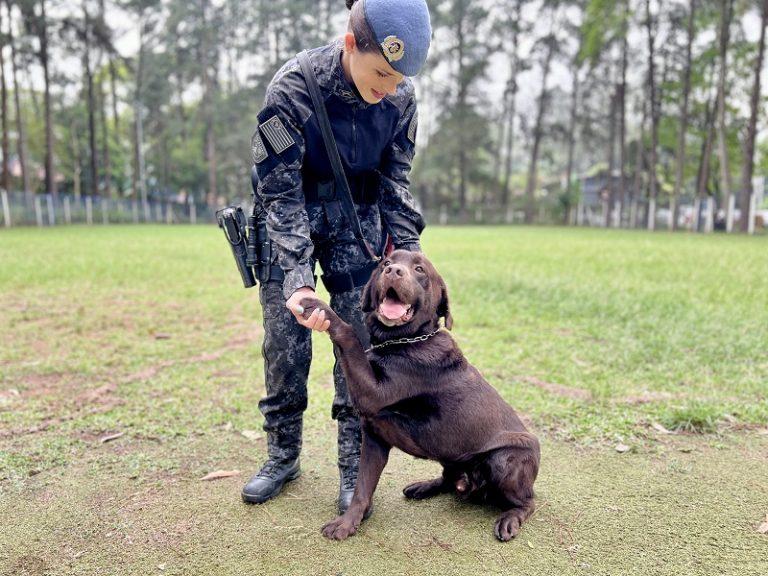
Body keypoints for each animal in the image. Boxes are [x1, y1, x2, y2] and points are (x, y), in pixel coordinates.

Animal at [300, 250, 540, 544]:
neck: (406, 340)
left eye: (419, 270)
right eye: (386, 263)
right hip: (453, 457)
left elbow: (349, 334)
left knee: (528, 502)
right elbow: (362, 487)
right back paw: (424, 487)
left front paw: (319, 307)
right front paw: (348, 522)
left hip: (506, 459)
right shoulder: (374, 436)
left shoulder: (373, 393)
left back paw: (509, 519)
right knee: (450, 480)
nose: (393, 271)